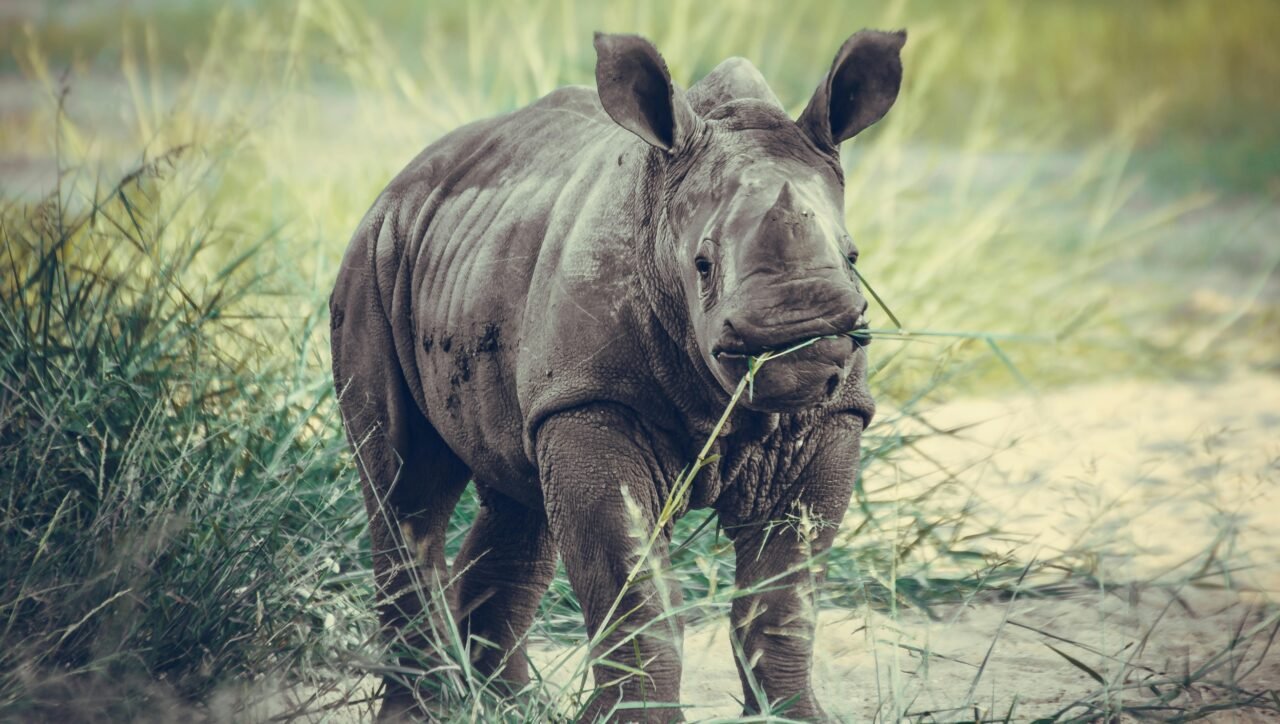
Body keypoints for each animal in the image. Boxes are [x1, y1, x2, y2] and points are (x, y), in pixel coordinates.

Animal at [330, 29, 905, 722]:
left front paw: (795, 715)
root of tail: (403, 178)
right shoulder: (592, 399)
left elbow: (784, 596)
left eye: (853, 258)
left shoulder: (832, 414)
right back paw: (425, 708)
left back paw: (510, 707)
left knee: (517, 493)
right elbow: (631, 588)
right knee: (407, 487)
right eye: (702, 264)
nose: (799, 334)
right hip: (375, 256)